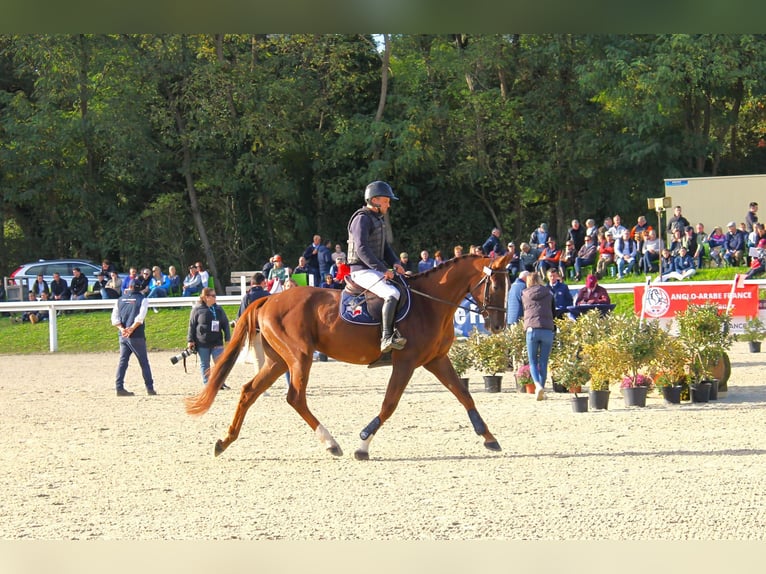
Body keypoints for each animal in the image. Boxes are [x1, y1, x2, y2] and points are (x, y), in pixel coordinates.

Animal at [184, 254, 510, 462]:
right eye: (494, 286)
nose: (497, 326)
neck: (429, 304)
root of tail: (269, 298)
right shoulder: (406, 362)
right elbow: (389, 404)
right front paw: (363, 444)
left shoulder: (436, 360)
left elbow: (464, 395)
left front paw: (488, 437)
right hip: (299, 357)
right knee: (295, 397)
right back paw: (331, 443)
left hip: (278, 362)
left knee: (249, 391)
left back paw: (224, 442)